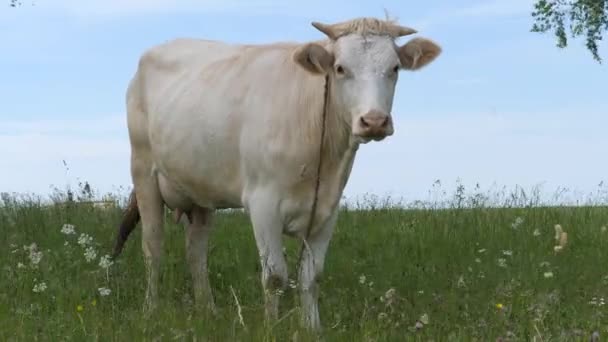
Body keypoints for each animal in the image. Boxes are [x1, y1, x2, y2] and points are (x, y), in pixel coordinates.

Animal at [111, 16, 440, 332]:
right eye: (340, 68)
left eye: (394, 68)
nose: (374, 121)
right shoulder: (263, 204)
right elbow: (275, 276)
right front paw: (272, 326)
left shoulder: (327, 211)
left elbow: (311, 276)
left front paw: (313, 328)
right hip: (144, 172)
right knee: (153, 247)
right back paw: (151, 310)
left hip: (200, 190)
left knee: (196, 252)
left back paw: (208, 309)